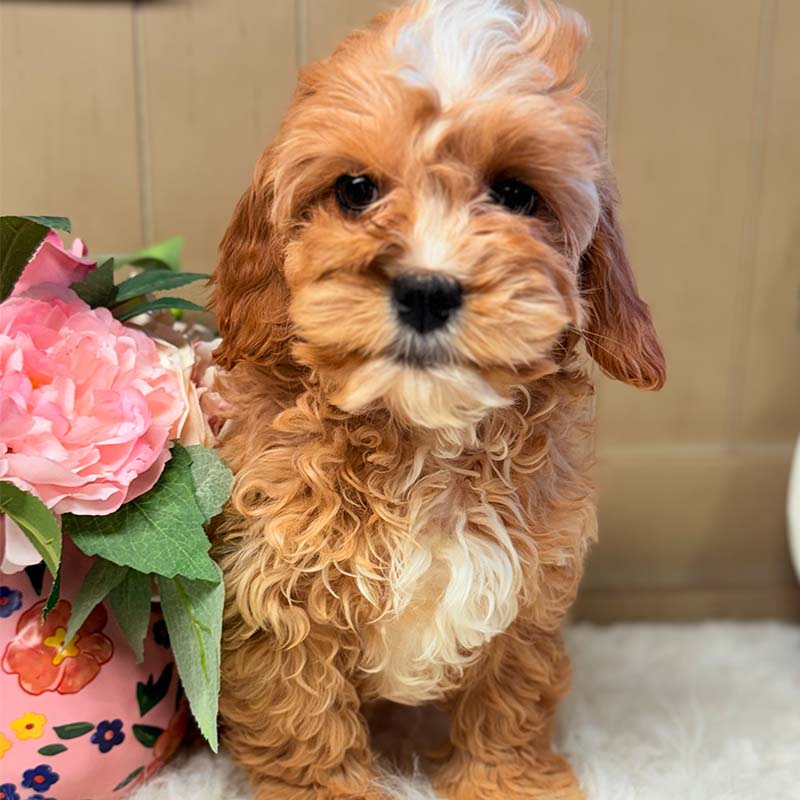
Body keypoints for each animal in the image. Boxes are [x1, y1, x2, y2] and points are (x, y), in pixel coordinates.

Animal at [211, 1, 665, 798]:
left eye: (515, 194)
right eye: (355, 190)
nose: (426, 288)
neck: (424, 440)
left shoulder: (528, 595)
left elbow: (510, 701)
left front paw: (509, 783)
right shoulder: (277, 594)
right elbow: (305, 719)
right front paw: (335, 790)